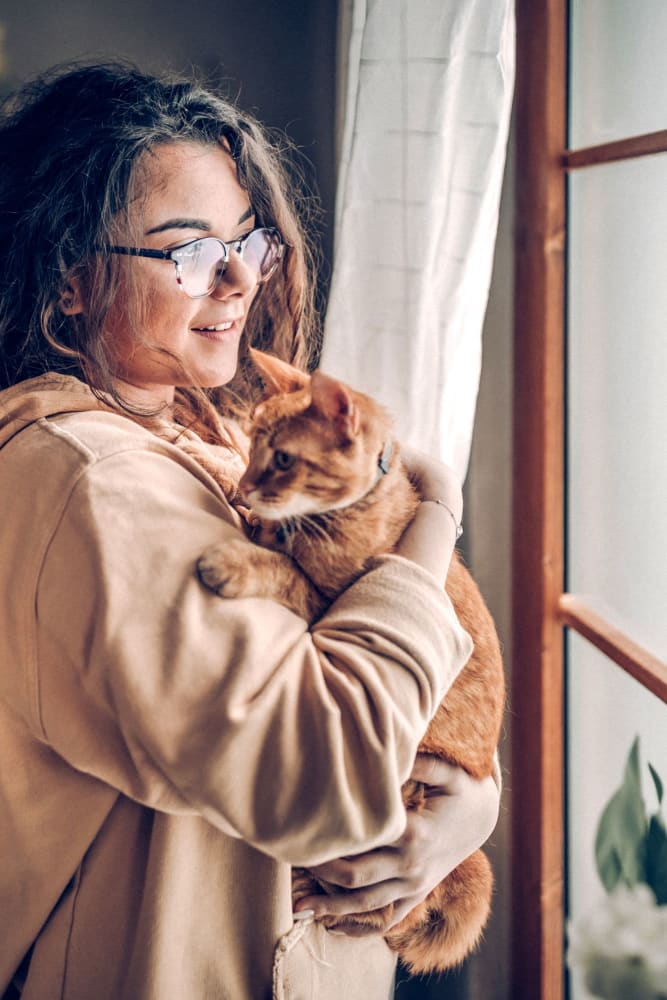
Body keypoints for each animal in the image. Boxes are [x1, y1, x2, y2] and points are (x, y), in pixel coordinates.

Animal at [198, 348, 506, 972]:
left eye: (283, 459)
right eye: (254, 444)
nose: (247, 486)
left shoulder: (326, 610)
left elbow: (282, 569)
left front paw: (235, 559)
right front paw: (220, 474)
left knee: (387, 915)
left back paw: (317, 896)